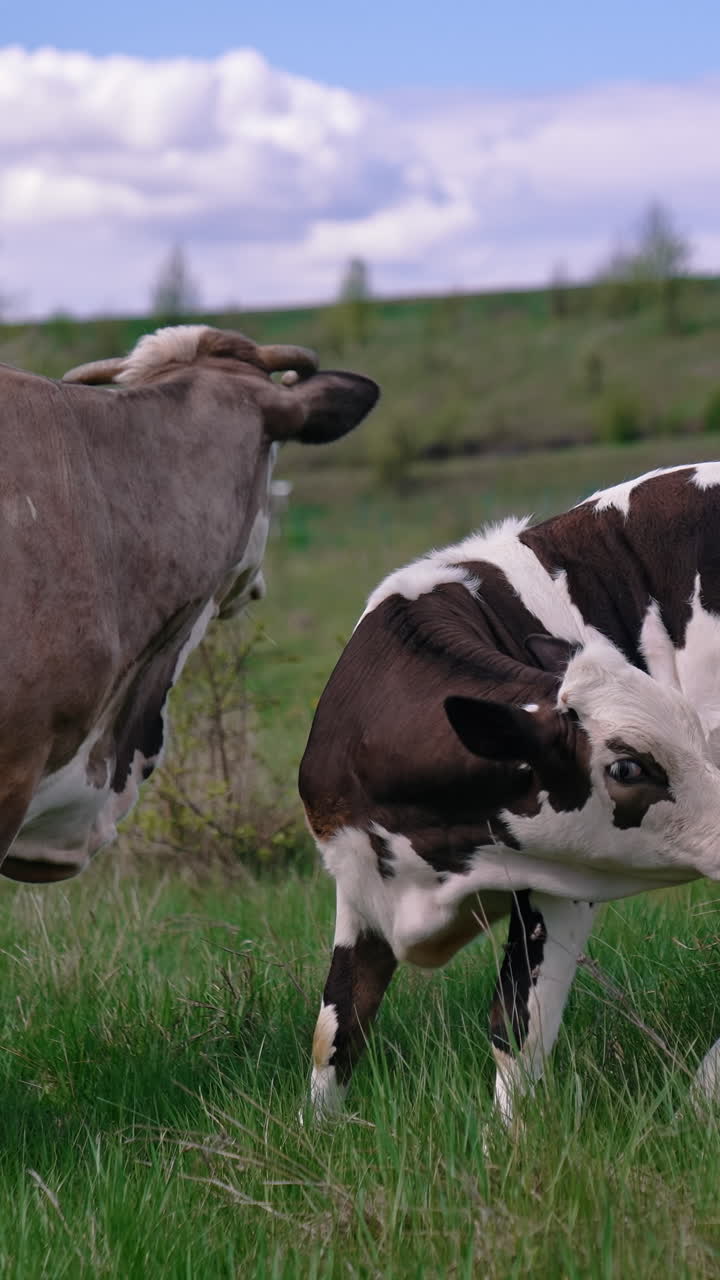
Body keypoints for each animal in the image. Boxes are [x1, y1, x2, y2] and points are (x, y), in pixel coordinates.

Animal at [299, 462, 720, 1126]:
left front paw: (511, 1144)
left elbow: (518, 1030)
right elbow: (336, 1031)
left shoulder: (566, 882)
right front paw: (317, 1135)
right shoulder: (359, 880)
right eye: (627, 768)